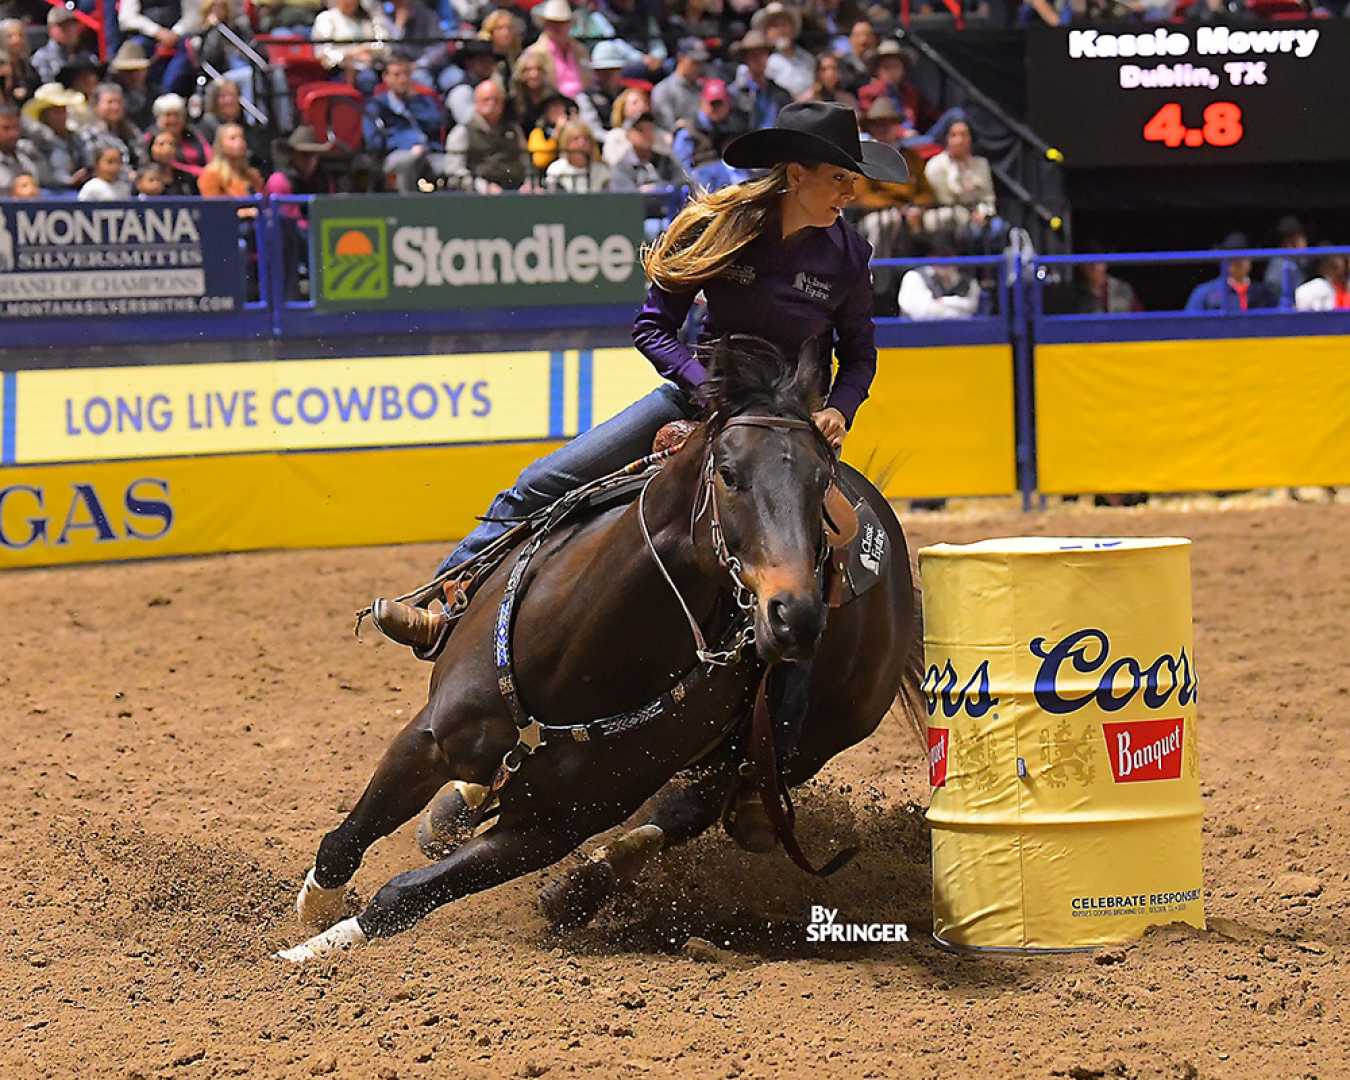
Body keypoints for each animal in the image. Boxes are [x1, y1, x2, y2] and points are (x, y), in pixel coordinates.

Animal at [276, 337, 928, 961]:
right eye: (728, 473)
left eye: (821, 483)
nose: (795, 615)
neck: (579, 652)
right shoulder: (430, 736)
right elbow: (347, 839)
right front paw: (311, 915)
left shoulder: (552, 827)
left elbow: (405, 896)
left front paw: (309, 952)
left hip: (797, 749)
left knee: (684, 813)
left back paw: (577, 891)